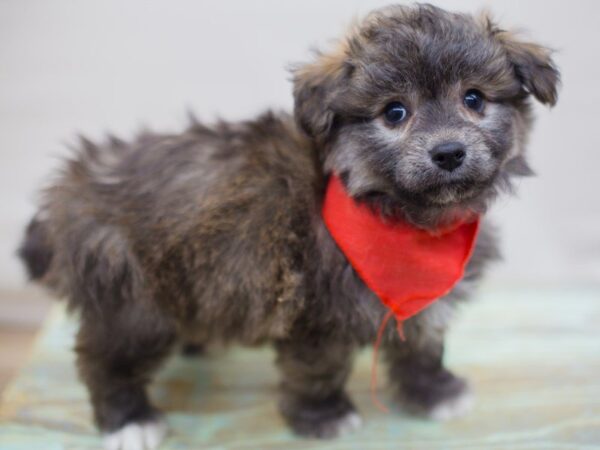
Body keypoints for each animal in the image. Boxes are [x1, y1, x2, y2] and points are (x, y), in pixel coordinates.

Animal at [19, 4, 564, 450]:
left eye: (474, 99)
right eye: (394, 112)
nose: (448, 152)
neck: (397, 216)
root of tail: (70, 185)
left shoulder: (415, 302)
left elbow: (422, 342)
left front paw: (435, 392)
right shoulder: (312, 309)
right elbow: (317, 368)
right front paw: (323, 417)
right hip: (130, 300)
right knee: (104, 360)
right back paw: (129, 421)